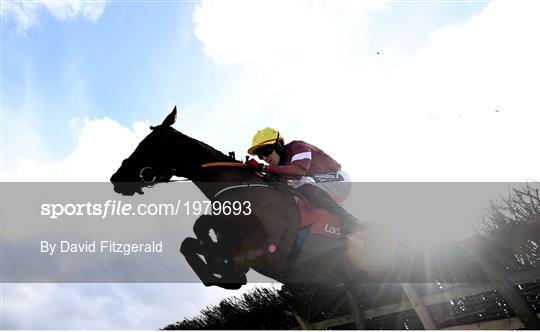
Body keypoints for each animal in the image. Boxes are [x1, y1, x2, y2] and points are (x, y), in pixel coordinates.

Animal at [112, 107, 412, 290]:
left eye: (149, 145)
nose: (117, 178)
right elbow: (191, 241)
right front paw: (221, 270)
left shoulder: (269, 245)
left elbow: (208, 231)